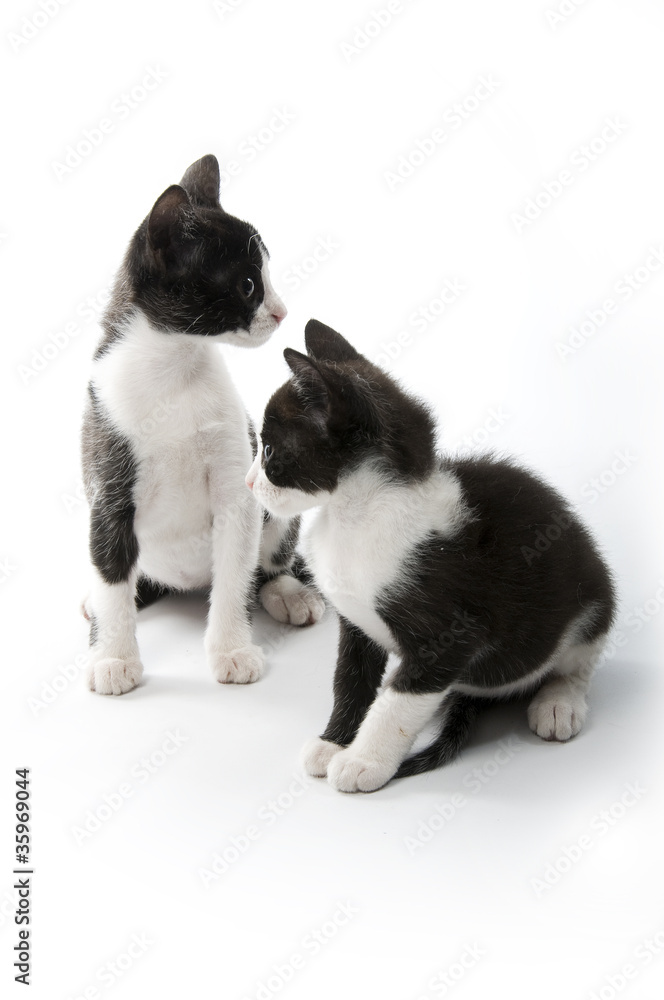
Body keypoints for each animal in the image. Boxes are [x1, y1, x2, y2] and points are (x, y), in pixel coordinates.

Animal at [81, 156, 326, 700]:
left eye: (266, 276)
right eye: (248, 285)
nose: (282, 312)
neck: (172, 369)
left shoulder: (239, 486)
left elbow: (235, 572)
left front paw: (231, 649)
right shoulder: (108, 487)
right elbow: (111, 575)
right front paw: (113, 655)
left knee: (270, 560)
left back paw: (287, 591)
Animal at [249, 318, 616, 788]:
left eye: (270, 450)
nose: (247, 482)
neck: (355, 515)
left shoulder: (450, 633)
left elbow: (399, 701)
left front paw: (363, 761)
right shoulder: (355, 623)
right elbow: (350, 679)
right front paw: (333, 741)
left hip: (594, 600)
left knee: (578, 659)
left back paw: (559, 701)